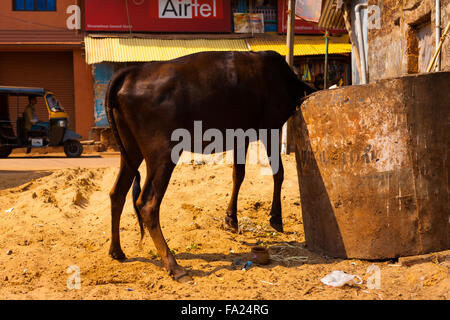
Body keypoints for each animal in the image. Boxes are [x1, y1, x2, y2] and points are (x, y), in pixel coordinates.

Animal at [105, 50, 316, 280]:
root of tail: (132, 71)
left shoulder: (241, 135)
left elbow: (238, 174)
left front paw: (231, 219)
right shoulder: (270, 127)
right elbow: (278, 172)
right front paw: (276, 218)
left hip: (131, 150)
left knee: (117, 193)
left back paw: (116, 251)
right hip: (162, 152)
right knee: (147, 203)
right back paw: (174, 265)